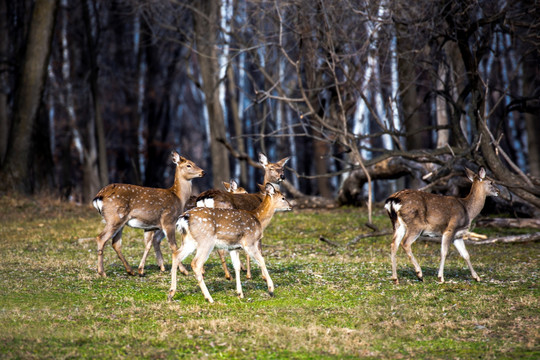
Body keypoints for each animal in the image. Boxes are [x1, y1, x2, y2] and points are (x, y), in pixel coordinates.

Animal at [92, 150, 204, 278]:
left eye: (194, 163)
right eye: (189, 165)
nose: (202, 172)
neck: (178, 198)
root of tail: (98, 197)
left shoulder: (150, 226)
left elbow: (148, 244)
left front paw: (142, 270)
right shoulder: (168, 220)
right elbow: (173, 246)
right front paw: (183, 270)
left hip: (120, 221)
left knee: (116, 243)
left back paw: (130, 270)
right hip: (114, 218)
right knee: (101, 238)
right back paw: (102, 272)